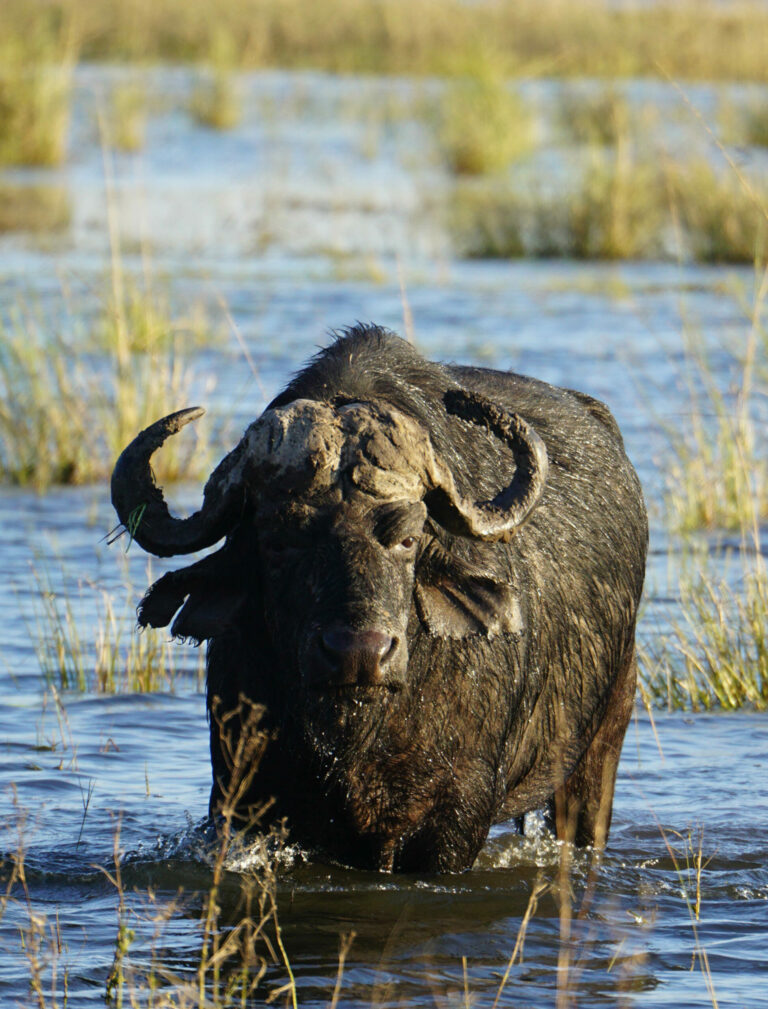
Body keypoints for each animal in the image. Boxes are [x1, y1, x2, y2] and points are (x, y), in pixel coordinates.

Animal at [111, 324, 645, 875]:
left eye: (408, 537)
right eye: (278, 541)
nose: (358, 652)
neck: (355, 734)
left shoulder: (453, 821)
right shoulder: (244, 799)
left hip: (601, 748)